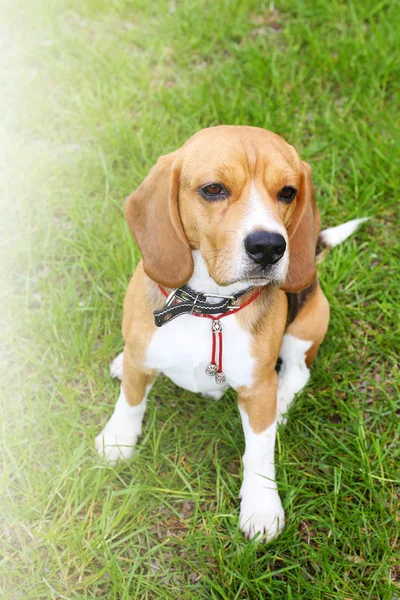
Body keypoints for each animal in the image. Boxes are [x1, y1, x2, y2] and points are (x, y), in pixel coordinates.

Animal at [96, 125, 366, 540]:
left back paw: (281, 403)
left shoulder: (257, 387)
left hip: (307, 325)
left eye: (287, 192)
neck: (208, 306)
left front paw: (261, 506)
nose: (269, 247)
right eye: (213, 189)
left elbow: (260, 452)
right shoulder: (142, 355)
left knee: (296, 373)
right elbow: (130, 399)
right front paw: (118, 439)